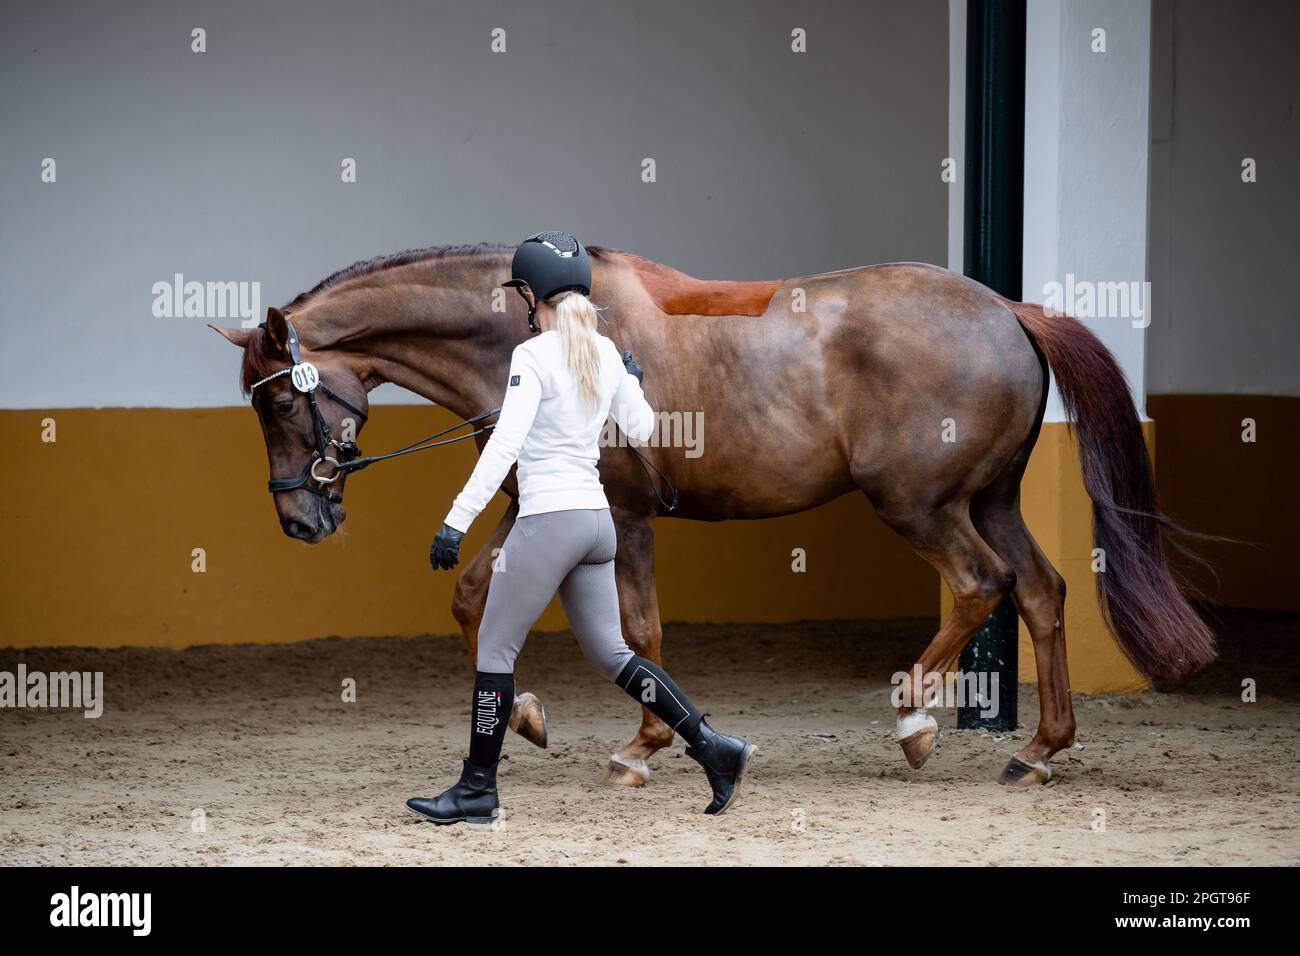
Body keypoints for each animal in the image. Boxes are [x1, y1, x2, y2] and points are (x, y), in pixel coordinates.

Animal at [213, 243, 1216, 790]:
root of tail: (1007, 308)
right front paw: (530, 714)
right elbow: (469, 596)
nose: (300, 522)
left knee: (982, 584)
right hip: (990, 498)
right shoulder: (537, 499)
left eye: (280, 401)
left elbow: (640, 629)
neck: (539, 336)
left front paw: (645, 746)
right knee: (1042, 592)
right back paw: (1039, 750)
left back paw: (914, 721)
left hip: (920, 503)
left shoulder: (623, 515)